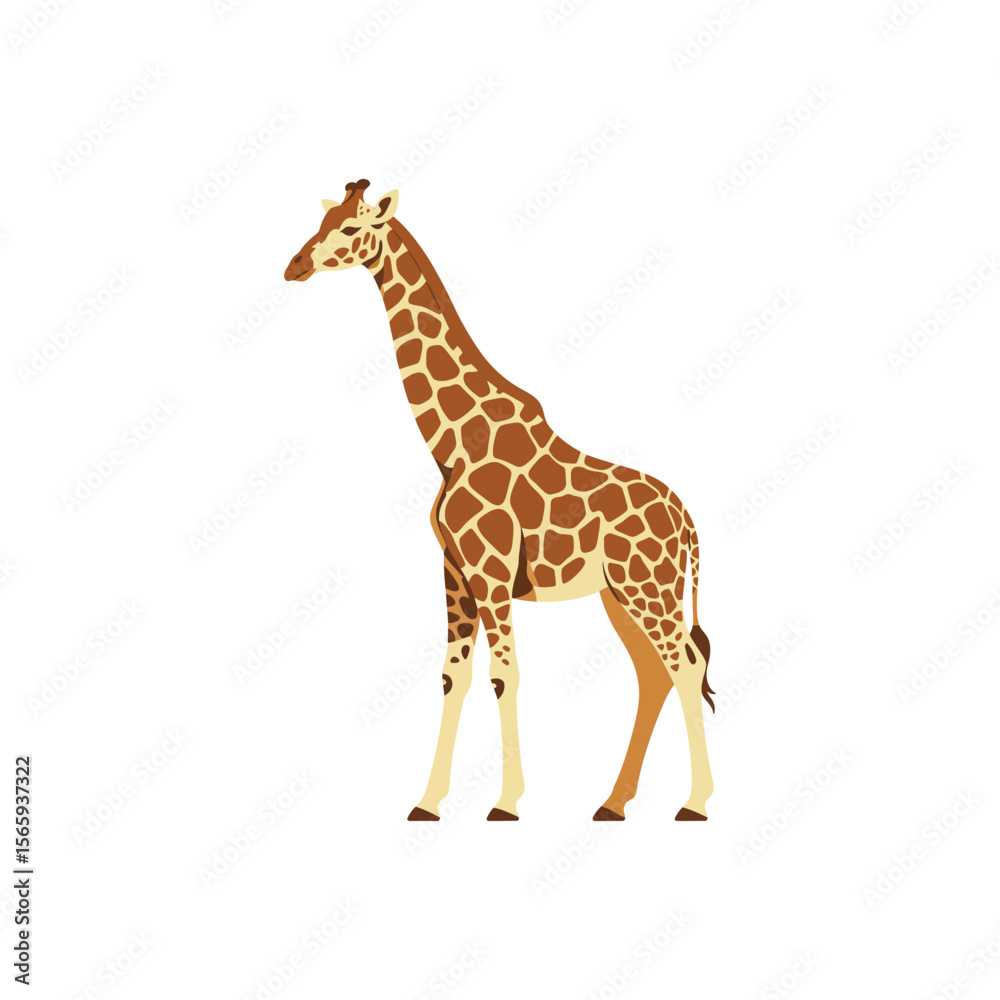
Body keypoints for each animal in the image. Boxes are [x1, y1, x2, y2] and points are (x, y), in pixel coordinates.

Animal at [284, 179, 715, 822]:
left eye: (351, 227)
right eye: (323, 220)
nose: (295, 266)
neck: (452, 442)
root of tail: (688, 521)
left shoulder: (490, 571)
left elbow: (503, 675)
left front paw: (507, 804)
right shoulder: (454, 572)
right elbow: (451, 677)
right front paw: (428, 802)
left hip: (649, 588)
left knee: (684, 666)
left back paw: (696, 803)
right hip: (620, 593)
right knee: (654, 673)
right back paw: (613, 803)